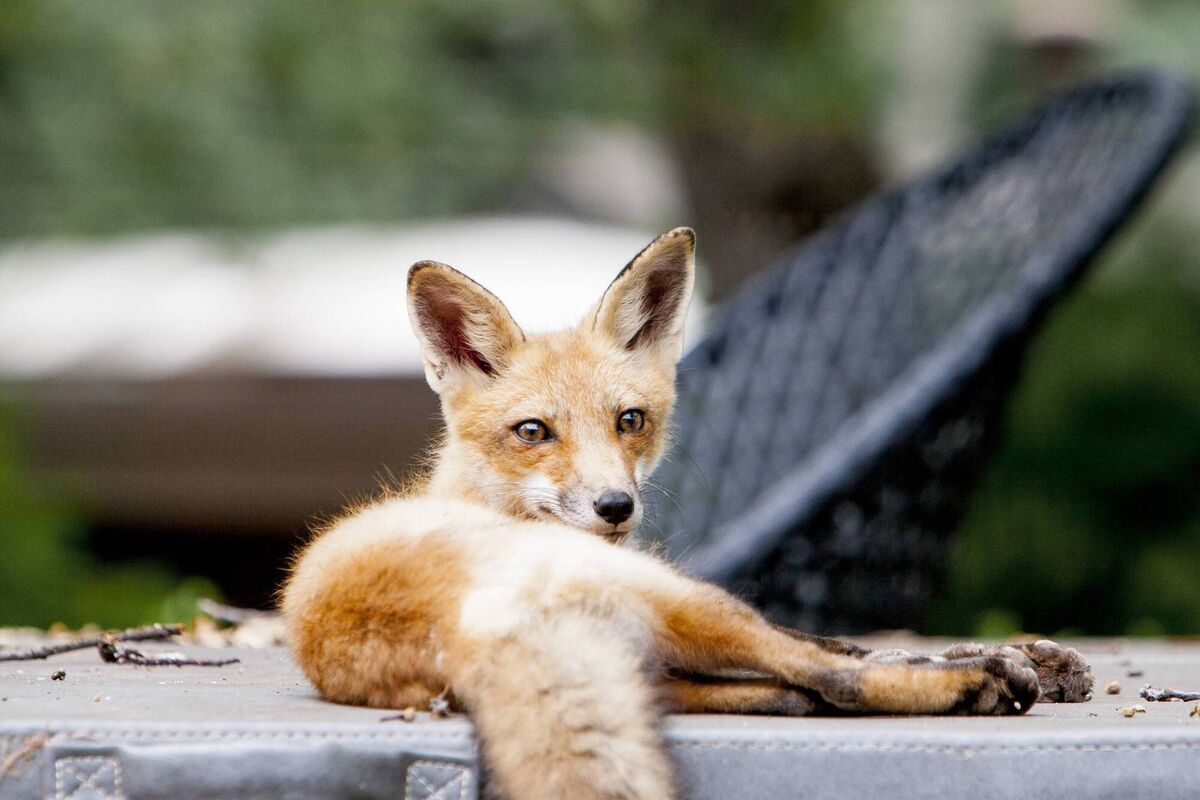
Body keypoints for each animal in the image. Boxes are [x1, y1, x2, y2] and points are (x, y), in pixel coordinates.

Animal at [281, 227, 1094, 800]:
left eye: (630, 421)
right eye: (534, 431)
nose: (616, 506)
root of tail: (462, 626)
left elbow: (849, 641)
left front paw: (1036, 656)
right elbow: (846, 652)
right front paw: (995, 662)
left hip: (656, 654)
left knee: (795, 690)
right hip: (678, 601)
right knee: (826, 681)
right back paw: (975, 685)